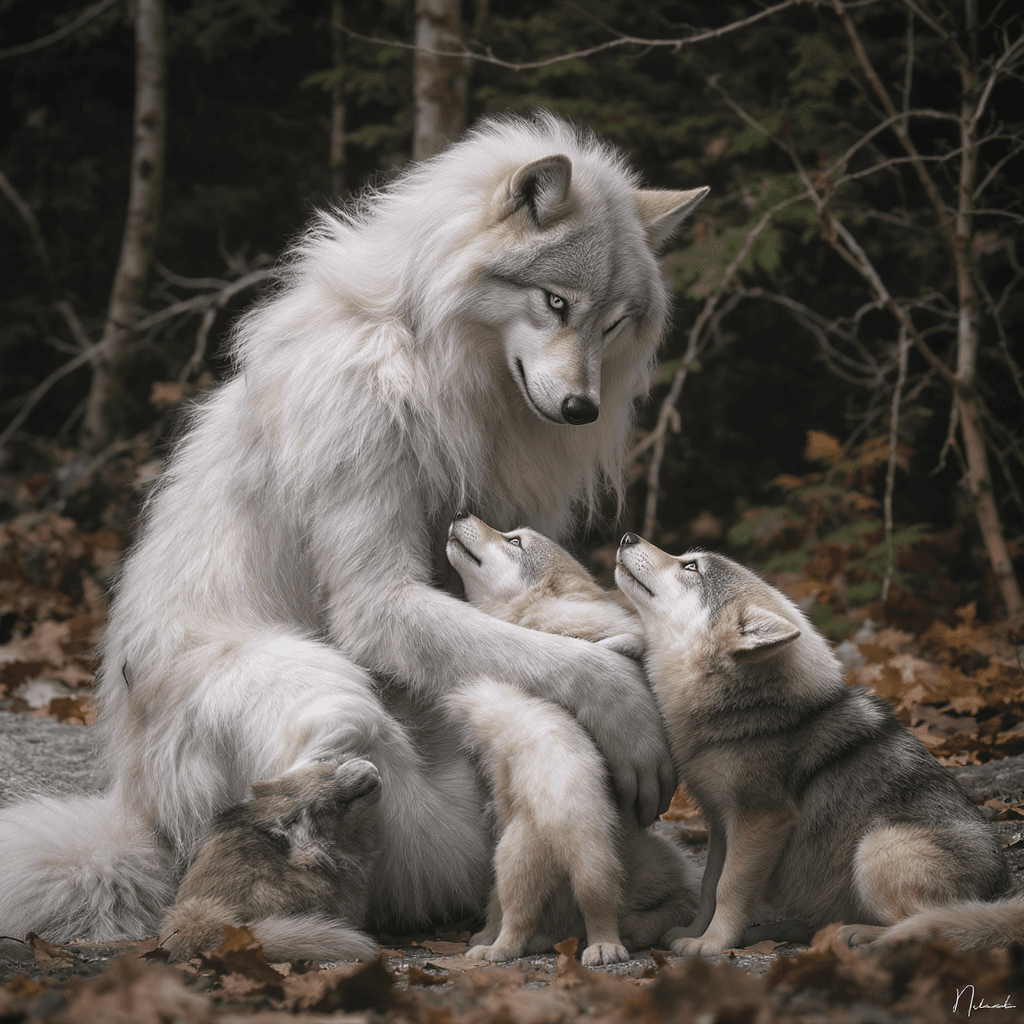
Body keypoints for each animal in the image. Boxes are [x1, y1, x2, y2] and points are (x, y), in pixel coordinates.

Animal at [444, 513, 698, 965]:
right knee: (514, 917)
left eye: (514, 541)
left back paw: (602, 945)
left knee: (588, 909)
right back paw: (495, 942)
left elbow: (619, 640)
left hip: (567, 856)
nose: (459, 513)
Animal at [614, 533, 1012, 955]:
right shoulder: (721, 823)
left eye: (690, 566)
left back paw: (855, 935)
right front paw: (693, 933)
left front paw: (713, 944)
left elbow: (728, 888)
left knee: (926, 924)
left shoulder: (760, 821)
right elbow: (709, 885)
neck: (749, 706)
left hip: (878, 846)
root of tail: (1001, 894)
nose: (627, 536)